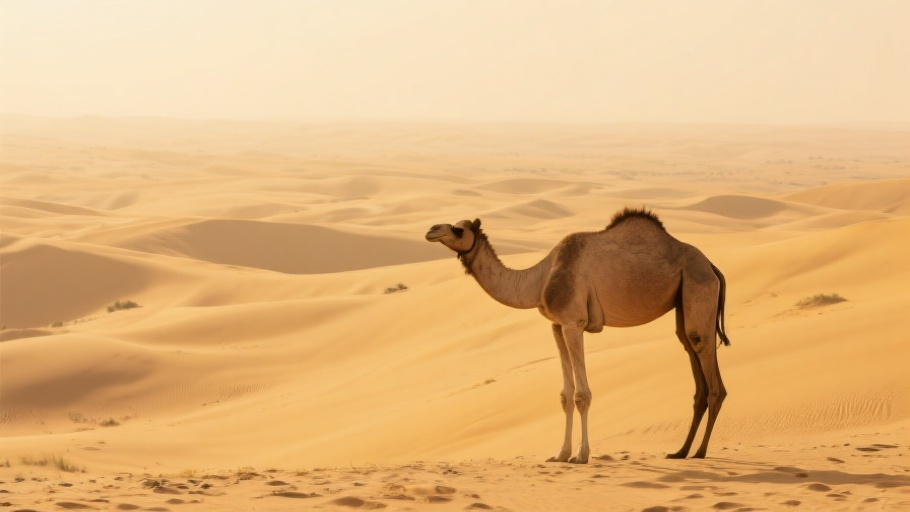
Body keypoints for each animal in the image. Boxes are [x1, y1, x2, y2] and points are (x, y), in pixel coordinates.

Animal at [425, 208, 730, 463]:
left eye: (458, 230)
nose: (431, 229)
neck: (540, 279)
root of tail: (713, 266)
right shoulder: (557, 326)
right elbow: (565, 395)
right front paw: (560, 454)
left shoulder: (574, 322)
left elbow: (582, 395)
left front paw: (581, 456)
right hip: (684, 299)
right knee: (692, 356)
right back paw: (680, 451)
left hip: (698, 286)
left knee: (707, 362)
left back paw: (700, 452)